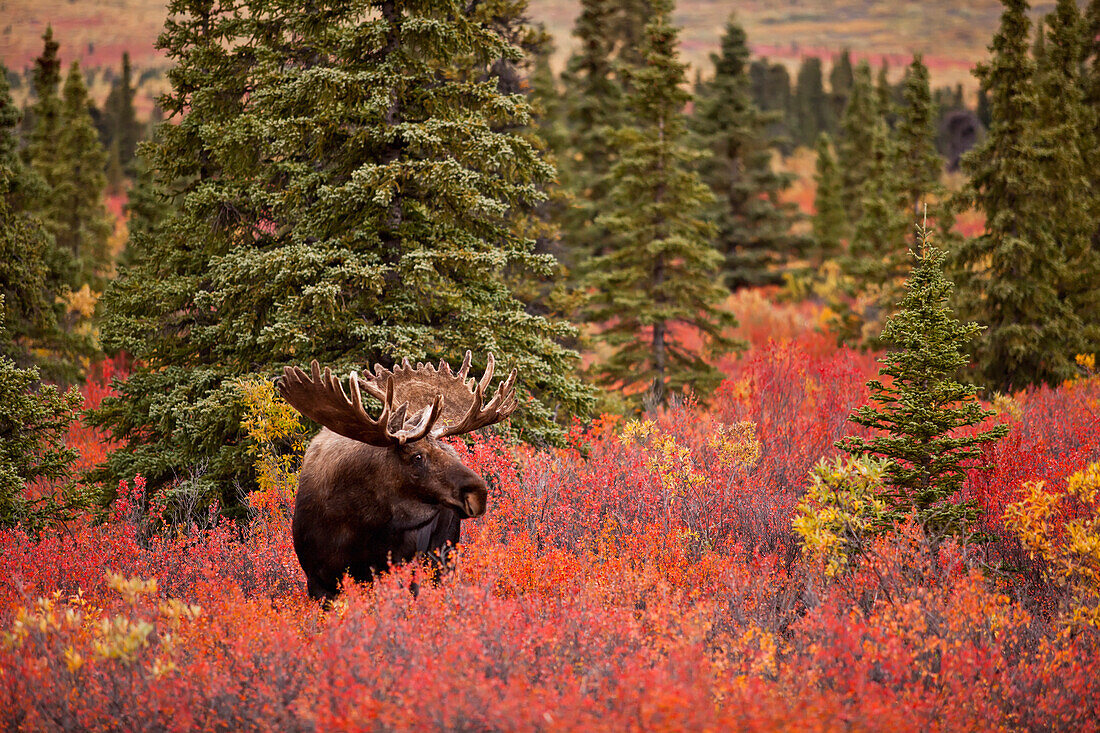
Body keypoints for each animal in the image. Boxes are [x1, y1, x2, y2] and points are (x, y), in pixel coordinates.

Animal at [275, 352, 514, 598]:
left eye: (448, 452)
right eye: (417, 457)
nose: (479, 493)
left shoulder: (394, 567)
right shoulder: (316, 579)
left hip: (442, 551)